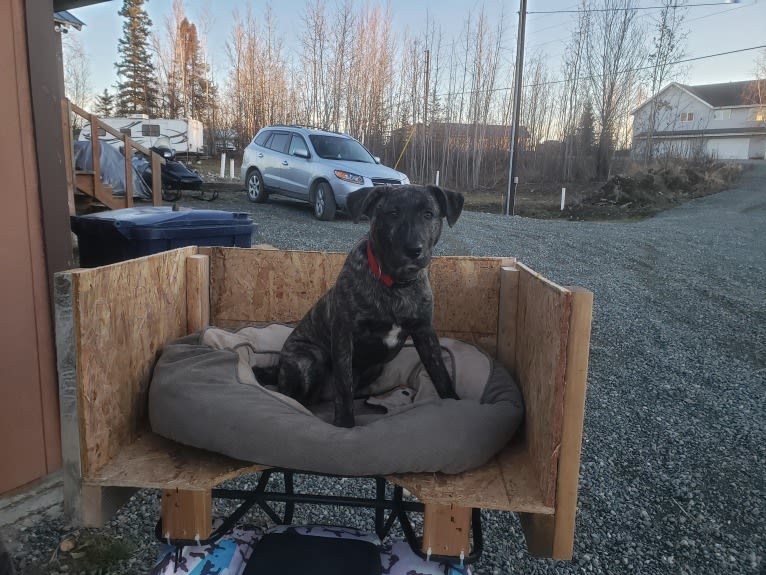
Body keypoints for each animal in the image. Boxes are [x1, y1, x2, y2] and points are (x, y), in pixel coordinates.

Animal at [278, 184, 464, 428]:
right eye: (392, 213)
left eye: (428, 214)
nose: (413, 249)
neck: (396, 285)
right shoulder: (343, 335)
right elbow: (343, 386)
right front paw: (345, 423)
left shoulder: (425, 333)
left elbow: (440, 373)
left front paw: (455, 402)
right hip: (309, 359)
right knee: (291, 395)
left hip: (375, 367)